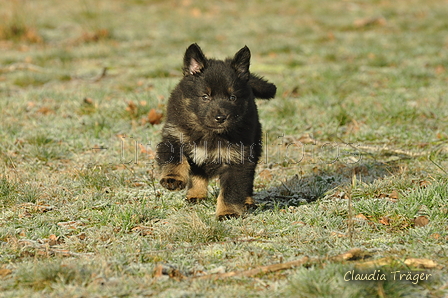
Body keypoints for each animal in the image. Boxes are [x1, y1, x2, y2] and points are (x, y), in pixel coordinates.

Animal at [158, 42, 276, 219]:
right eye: (205, 96)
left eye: (232, 98)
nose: (221, 118)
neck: (209, 133)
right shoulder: (174, 135)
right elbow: (174, 159)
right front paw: (172, 178)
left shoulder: (238, 159)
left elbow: (231, 190)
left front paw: (228, 212)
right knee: (198, 173)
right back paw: (196, 194)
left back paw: (247, 202)